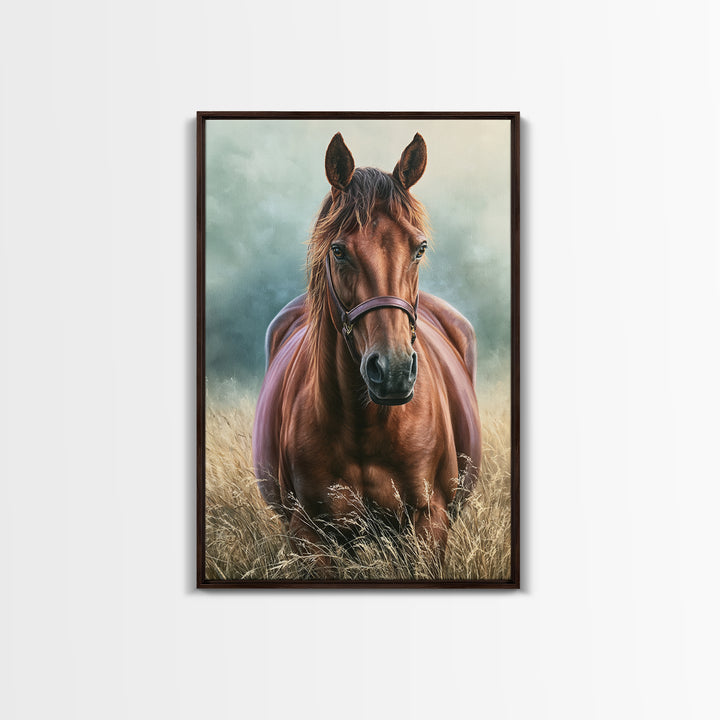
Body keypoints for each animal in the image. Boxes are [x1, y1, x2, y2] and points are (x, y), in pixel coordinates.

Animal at [252, 132, 482, 567]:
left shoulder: (429, 521)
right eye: (339, 250)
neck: (365, 428)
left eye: (419, 248)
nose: (392, 372)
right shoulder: (309, 534)